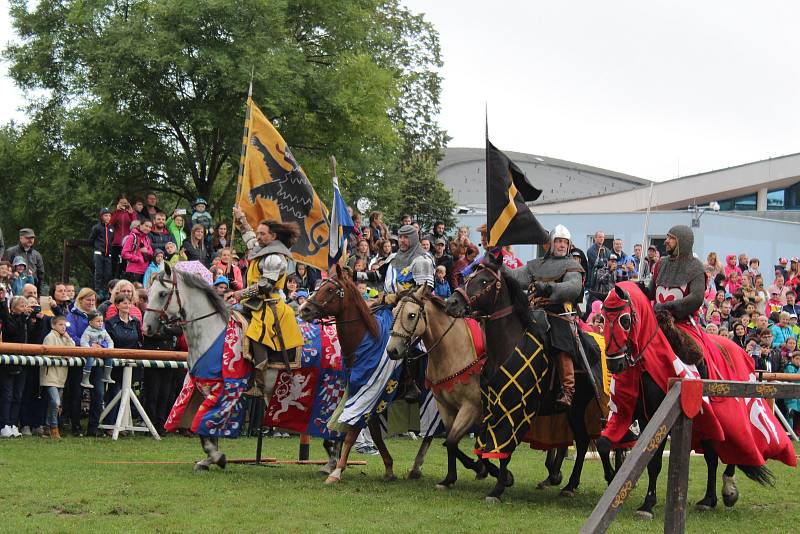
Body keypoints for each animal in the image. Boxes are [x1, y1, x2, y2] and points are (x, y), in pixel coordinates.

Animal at [296, 266, 432, 486]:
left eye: (330, 290)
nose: (304, 309)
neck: (365, 342)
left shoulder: (368, 395)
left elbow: (352, 433)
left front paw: (337, 470)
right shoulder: (357, 393)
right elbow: (372, 433)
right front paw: (388, 468)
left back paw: (417, 467)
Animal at [386, 286, 512, 492]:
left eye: (412, 315)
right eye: (393, 312)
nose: (392, 350)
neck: (453, 352)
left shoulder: (471, 408)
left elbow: (453, 441)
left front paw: (491, 471)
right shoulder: (446, 407)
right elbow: (450, 442)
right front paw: (451, 478)